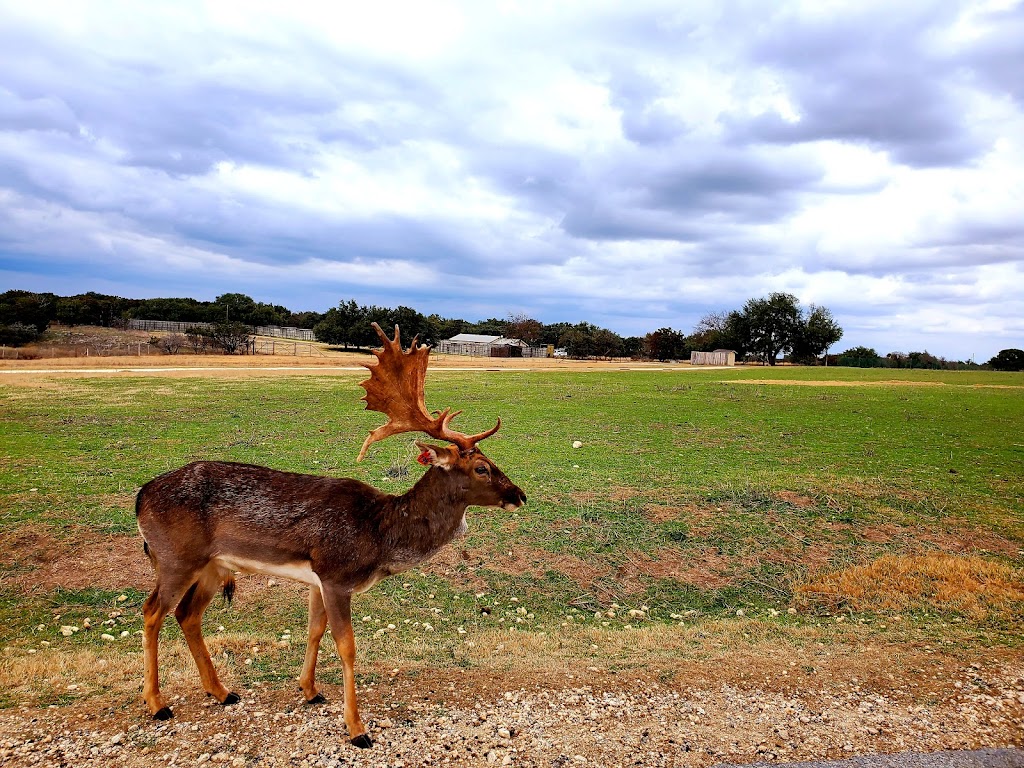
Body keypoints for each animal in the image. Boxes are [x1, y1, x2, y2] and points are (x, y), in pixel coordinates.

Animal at [134, 321, 528, 749]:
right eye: (481, 468)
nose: (520, 495)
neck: (379, 534)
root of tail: (140, 496)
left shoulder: (317, 578)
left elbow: (314, 630)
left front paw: (309, 690)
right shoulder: (337, 575)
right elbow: (348, 646)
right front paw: (357, 728)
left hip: (214, 565)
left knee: (188, 615)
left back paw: (222, 692)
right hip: (175, 556)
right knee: (152, 610)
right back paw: (157, 703)